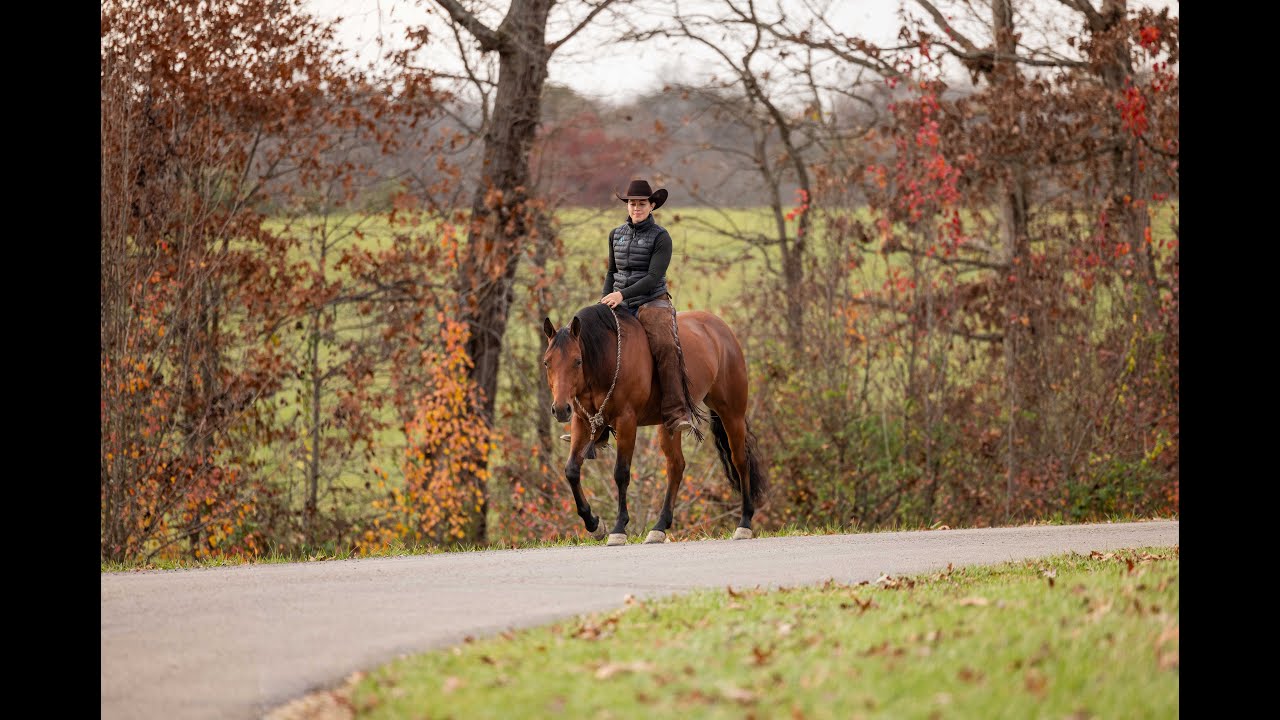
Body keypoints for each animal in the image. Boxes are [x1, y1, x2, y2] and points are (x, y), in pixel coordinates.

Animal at [541, 303, 767, 546]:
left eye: (578, 361)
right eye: (547, 362)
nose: (560, 409)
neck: (606, 357)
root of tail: (722, 330)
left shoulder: (626, 421)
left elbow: (621, 473)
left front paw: (619, 528)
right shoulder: (581, 421)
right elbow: (572, 470)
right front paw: (594, 525)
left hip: (732, 413)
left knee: (740, 460)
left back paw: (744, 523)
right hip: (669, 425)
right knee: (676, 466)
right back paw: (659, 527)